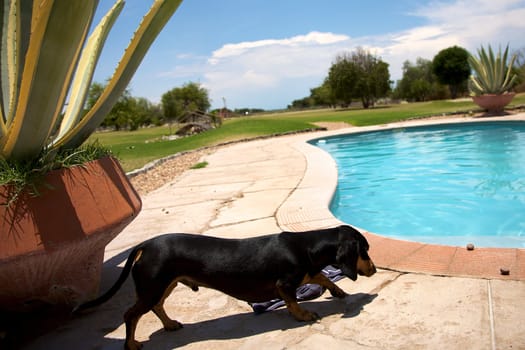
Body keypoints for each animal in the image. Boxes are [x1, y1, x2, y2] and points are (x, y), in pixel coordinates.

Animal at [75, 226, 374, 348]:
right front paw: (304, 315)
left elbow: (321, 276)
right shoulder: (286, 283)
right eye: (365, 250)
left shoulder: (305, 272)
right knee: (131, 315)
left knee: (157, 307)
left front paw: (337, 291)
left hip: (165, 284)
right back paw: (131, 344)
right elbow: (293, 301)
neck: (306, 246)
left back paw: (170, 324)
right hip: (153, 286)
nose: (373, 269)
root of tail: (144, 245)